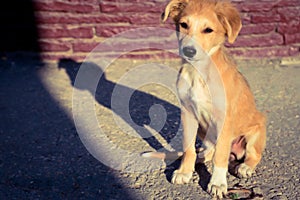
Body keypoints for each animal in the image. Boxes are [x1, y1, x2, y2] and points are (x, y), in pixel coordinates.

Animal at [146, 0, 268, 198]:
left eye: (208, 30)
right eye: (183, 25)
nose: (188, 51)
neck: (199, 72)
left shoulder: (224, 118)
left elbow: (221, 156)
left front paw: (217, 183)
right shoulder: (187, 113)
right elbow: (188, 149)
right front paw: (184, 172)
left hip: (256, 131)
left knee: (253, 154)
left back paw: (245, 167)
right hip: (205, 132)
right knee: (205, 153)